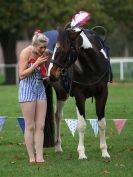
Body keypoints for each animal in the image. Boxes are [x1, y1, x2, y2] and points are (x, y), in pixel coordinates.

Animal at [47, 27, 111, 161]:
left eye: (63, 49)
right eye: (54, 47)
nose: (51, 74)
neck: (92, 67)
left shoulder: (103, 94)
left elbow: (102, 123)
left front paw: (104, 152)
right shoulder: (79, 97)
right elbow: (81, 125)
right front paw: (81, 153)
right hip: (62, 94)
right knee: (58, 116)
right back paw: (58, 146)